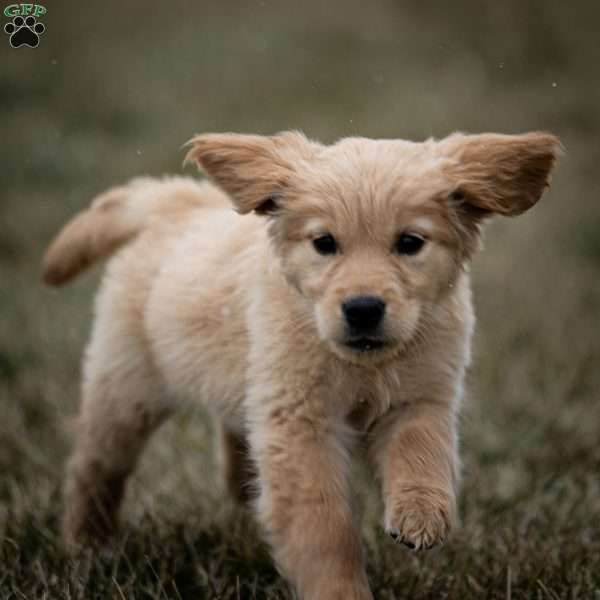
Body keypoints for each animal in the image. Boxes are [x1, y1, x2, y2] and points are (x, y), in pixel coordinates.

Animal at [43, 129, 564, 596]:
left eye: (411, 242)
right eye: (325, 243)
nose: (363, 309)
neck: (361, 364)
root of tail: (175, 202)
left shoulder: (421, 396)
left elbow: (421, 453)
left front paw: (420, 515)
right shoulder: (299, 425)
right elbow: (323, 530)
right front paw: (339, 592)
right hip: (126, 385)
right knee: (94, 466)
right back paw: (86, 544)